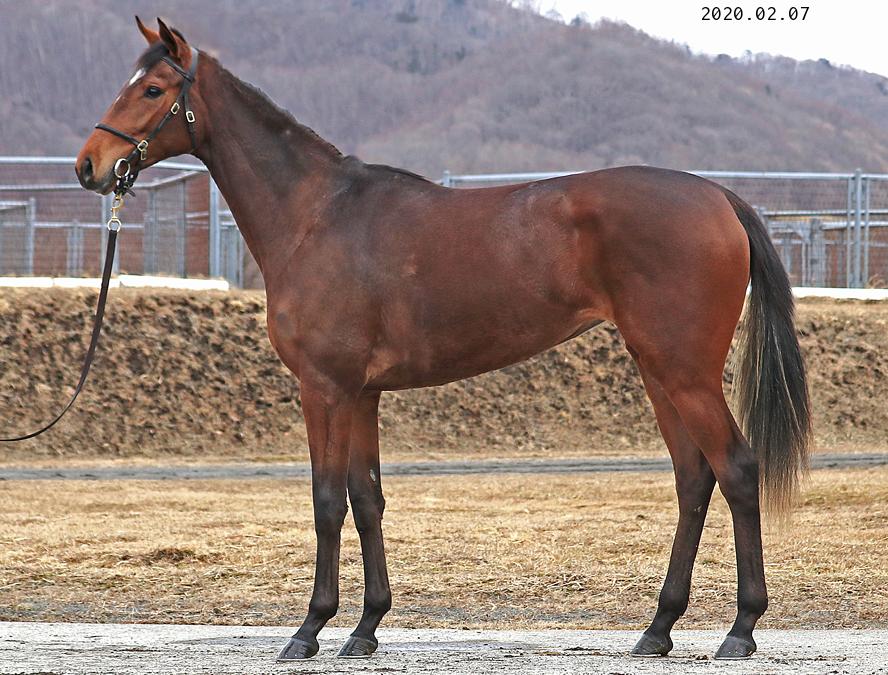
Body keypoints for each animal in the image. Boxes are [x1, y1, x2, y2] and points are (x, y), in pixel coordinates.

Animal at [75, 17, 811, 662]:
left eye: (152, 89)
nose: (90, 165)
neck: (317, 216)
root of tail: (718, 197)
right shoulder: (363, 394)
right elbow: (368, 498)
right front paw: (365, 627)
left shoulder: (325, 389)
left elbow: (326, 501)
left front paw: (309, 629)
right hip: (659, 371)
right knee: (694, 478)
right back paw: (657, 629)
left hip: (685, 373)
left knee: (736, 469)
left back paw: (740, 629)